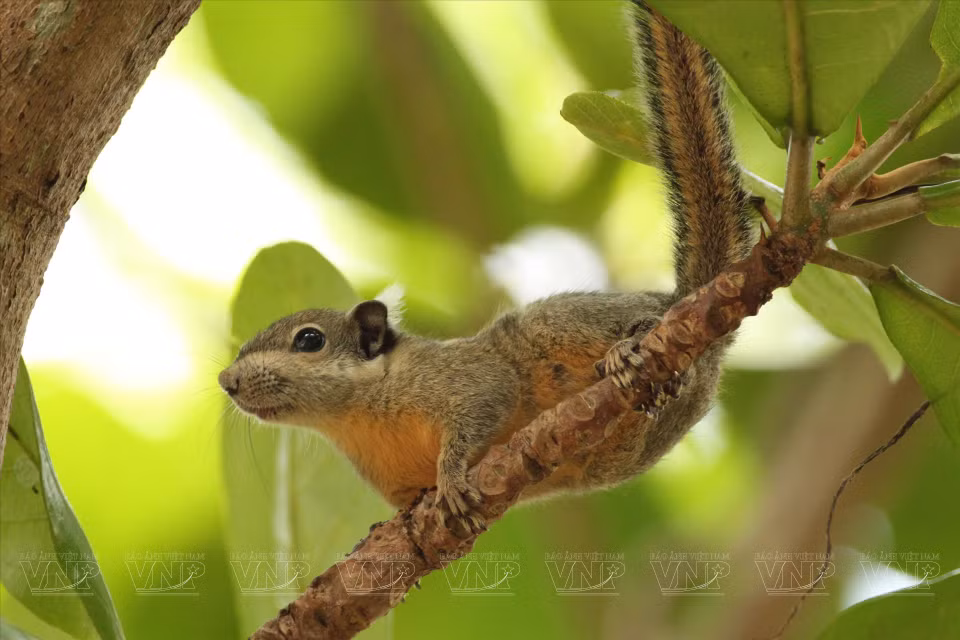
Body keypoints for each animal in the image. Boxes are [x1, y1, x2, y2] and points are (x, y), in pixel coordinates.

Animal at [218, 1, 753, 532]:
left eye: (309, 340)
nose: (227, 381)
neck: (357, 417)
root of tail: (692, 300)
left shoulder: (464, 379)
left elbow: (482, 408)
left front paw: (452, 477)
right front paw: (402, 525)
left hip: (566, 323)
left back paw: (632, 344)